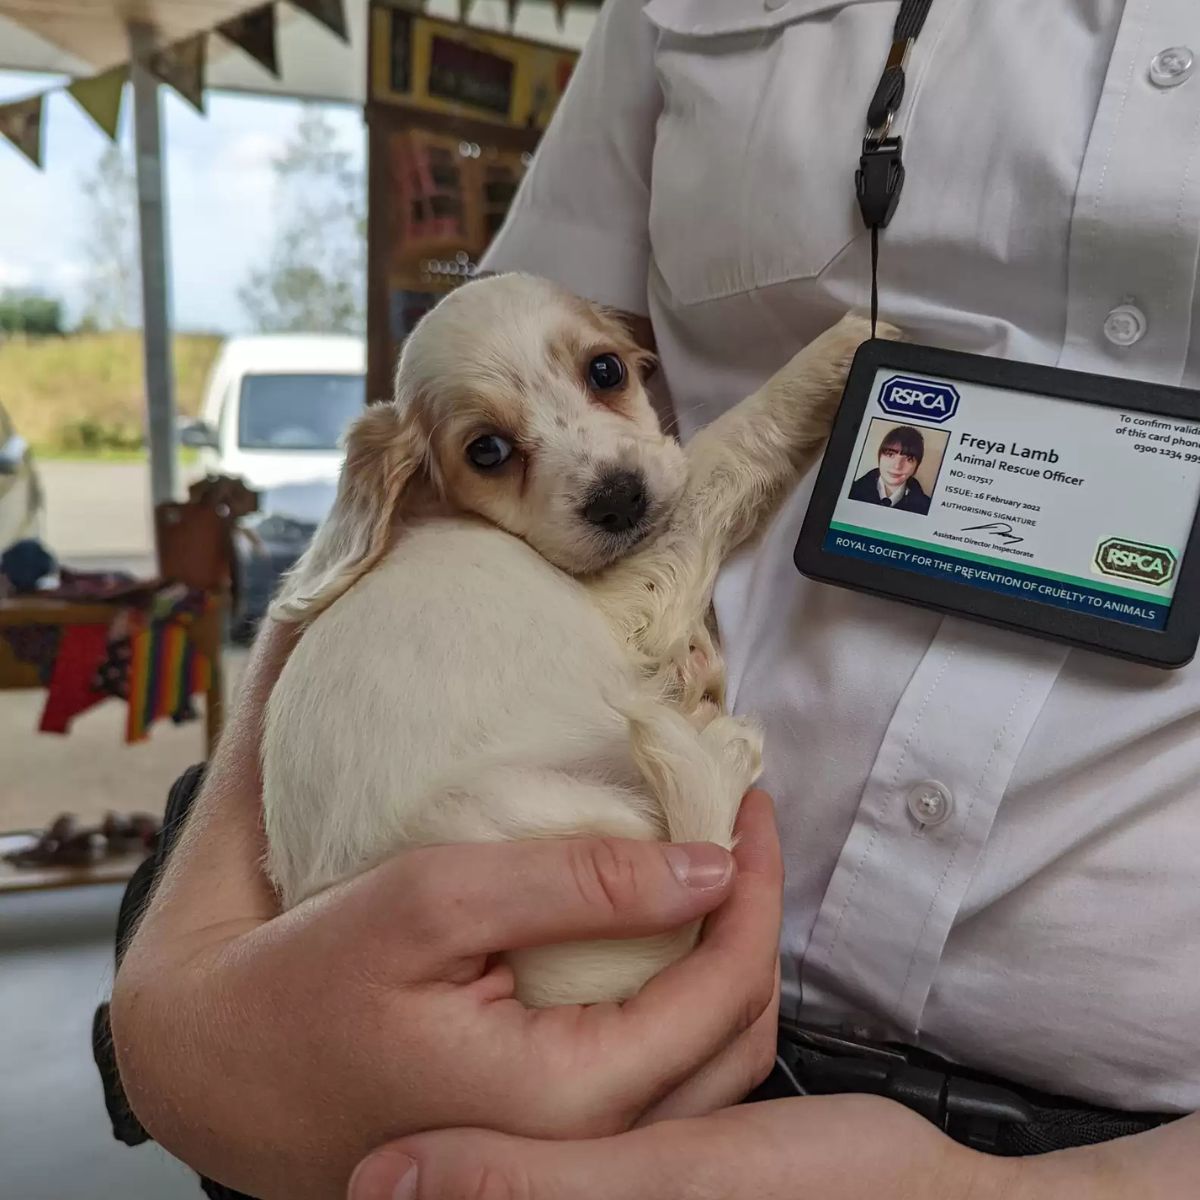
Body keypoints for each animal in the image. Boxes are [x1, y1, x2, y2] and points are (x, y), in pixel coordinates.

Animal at [262, 272, 897, 1003]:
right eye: (487, 451)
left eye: (606, 370)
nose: (619, 499)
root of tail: (561, 975)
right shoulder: (639, 596)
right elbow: (725, 444)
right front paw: (836, 353)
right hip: (554, 806)